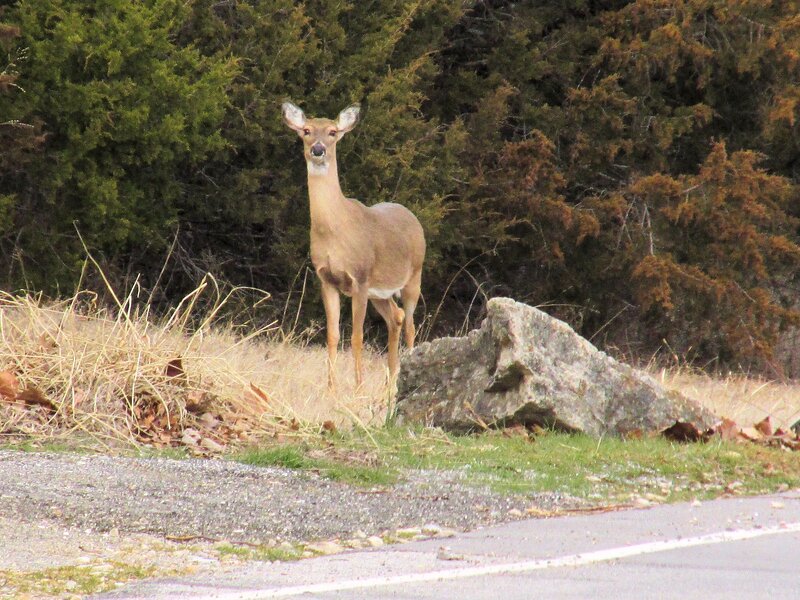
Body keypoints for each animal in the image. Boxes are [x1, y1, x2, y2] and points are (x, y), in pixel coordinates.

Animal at [281, 101, 425, 389]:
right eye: (306, 130)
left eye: (333, 132)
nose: (318, 149)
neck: (336, 231)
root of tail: (413, 217)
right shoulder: (326, 279)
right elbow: (333, 335)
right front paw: (331, 388)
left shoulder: (360, 277)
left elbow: (357, 336)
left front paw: (358, 387)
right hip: (379, 291)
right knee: (396, 317)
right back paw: (390, 382)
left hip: (413, 276)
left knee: (410, 324)